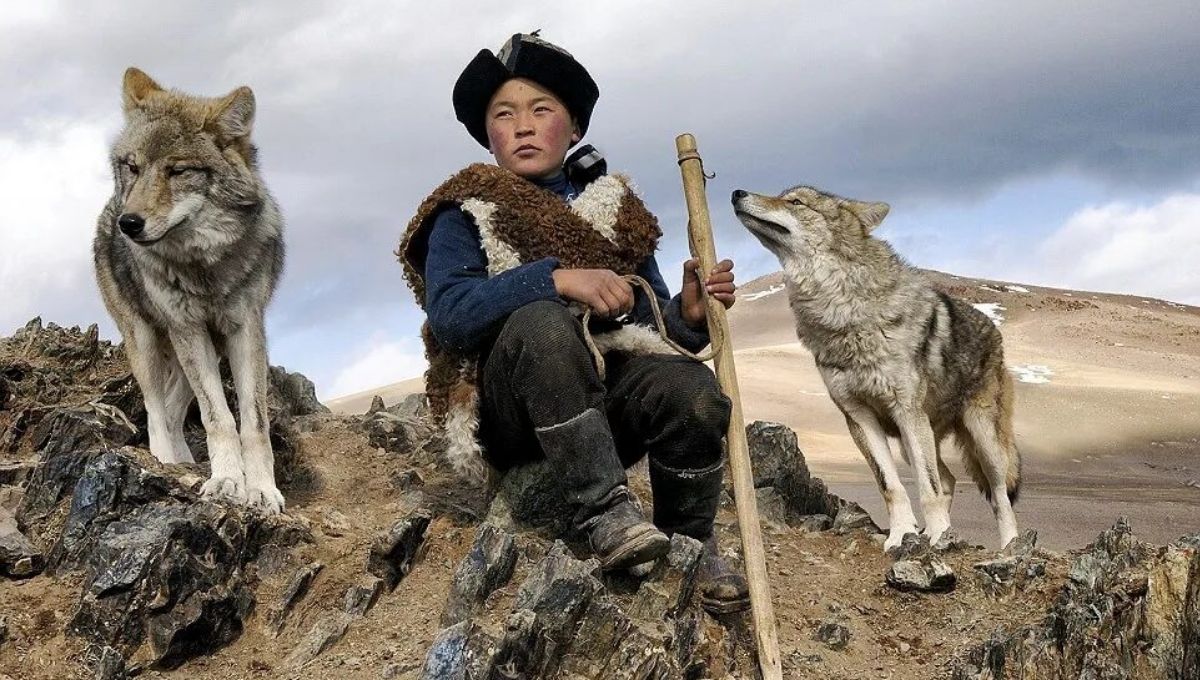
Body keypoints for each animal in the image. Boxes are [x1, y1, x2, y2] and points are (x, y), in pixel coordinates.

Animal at [92, 68, 286, 514]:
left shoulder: (244, 330)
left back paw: (184, 461)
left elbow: (252, 422)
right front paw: (228, 481)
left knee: (175, 408)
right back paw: (164, 462)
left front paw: (260, 489)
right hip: (146, 340)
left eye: (178, 171)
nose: (129, 223)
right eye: (133, 167)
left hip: (192, 351)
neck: (203, 268)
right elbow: (218, 418)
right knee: (154, 409)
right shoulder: (189, 330)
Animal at [732, 185, 1020, 550]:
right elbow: (891, 485)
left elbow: (927, 488)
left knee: (998, 495)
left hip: (981, 441)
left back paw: (1010, 545)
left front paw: (938, 534)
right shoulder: (858, 416)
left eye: (795, 202)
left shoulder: (906, 412)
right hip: (916, 440)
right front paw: (903, 533)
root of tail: (994, 330)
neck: (842, 313)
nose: (736, 193)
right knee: (949, 479)